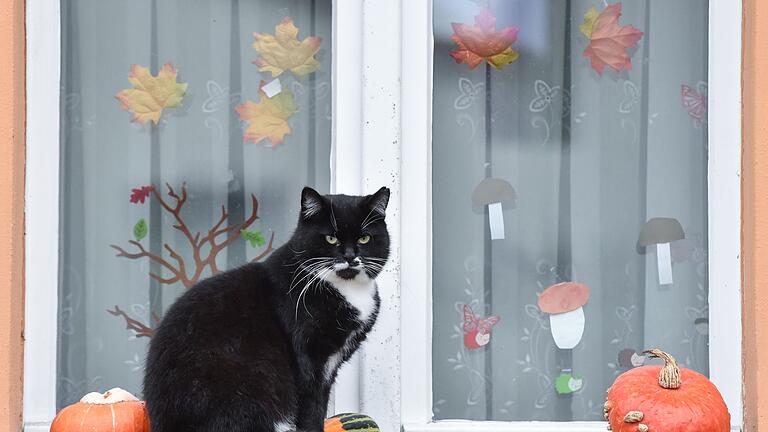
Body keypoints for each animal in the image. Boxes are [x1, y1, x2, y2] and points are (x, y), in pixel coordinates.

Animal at [144, 187, 390, 432]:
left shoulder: (329, 366)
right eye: (331, 238)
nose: (350, 256)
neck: (346, 289)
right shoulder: (309, 361)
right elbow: (311, 410)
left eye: (365, 238)